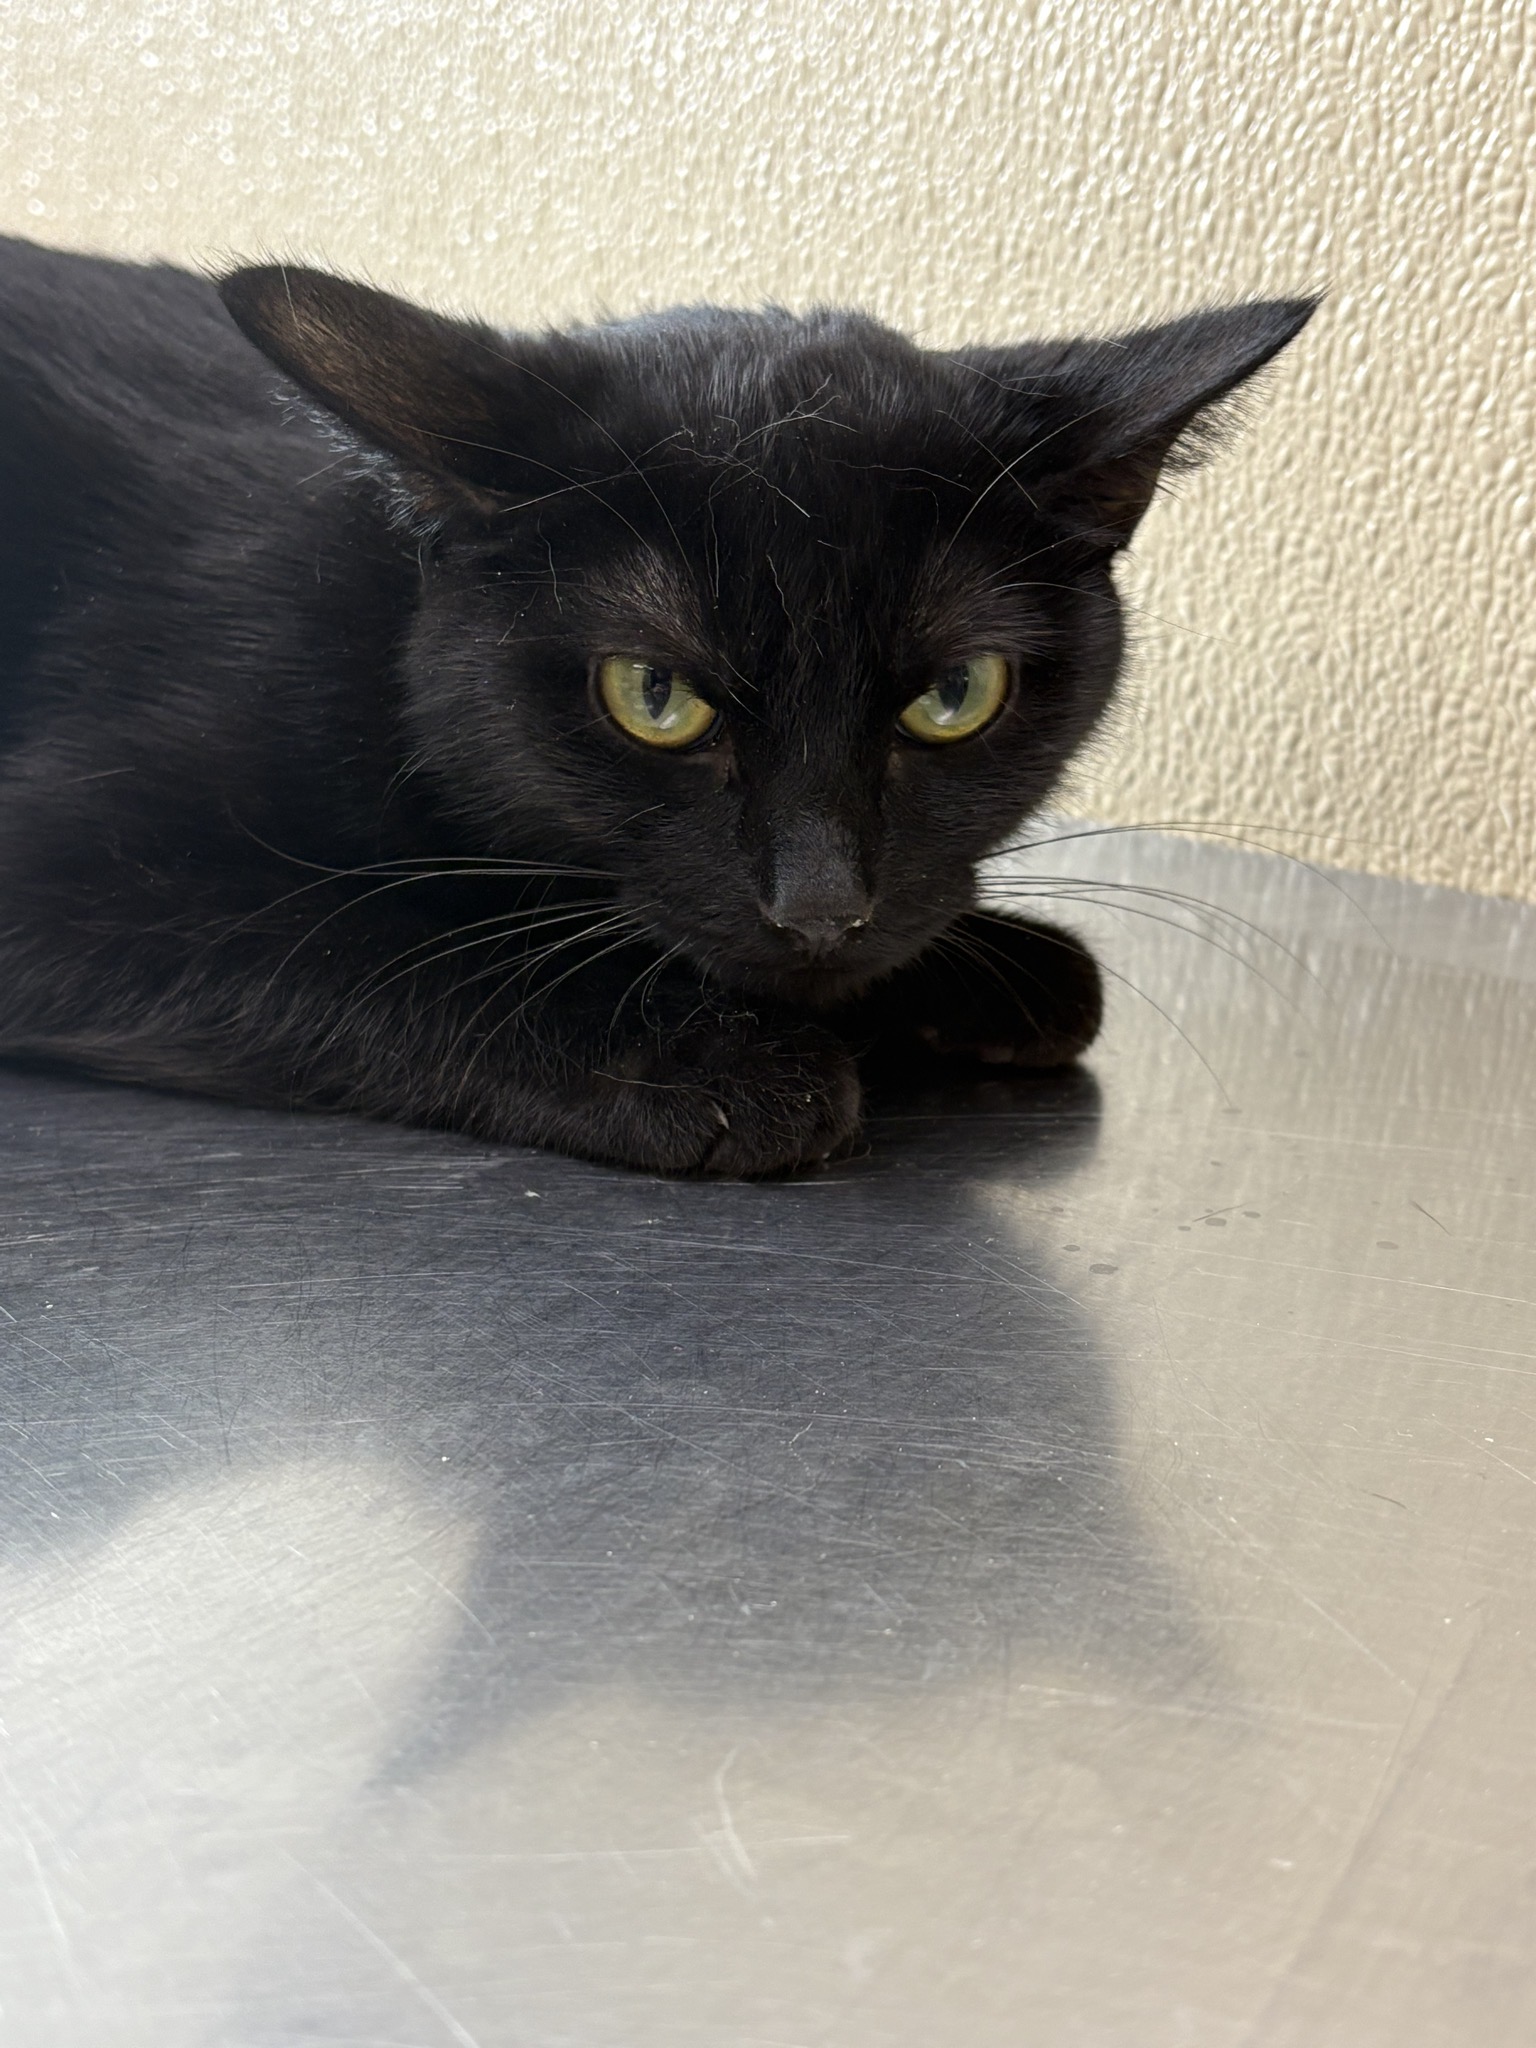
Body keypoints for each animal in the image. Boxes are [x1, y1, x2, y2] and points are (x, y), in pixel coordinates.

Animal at [0, 236, 1313, 1174]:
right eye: (653, 696)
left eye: (955, 696)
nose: (822, 907)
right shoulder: (63, 872)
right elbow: (359, 932)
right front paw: (712, 1060)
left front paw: (985, 971)